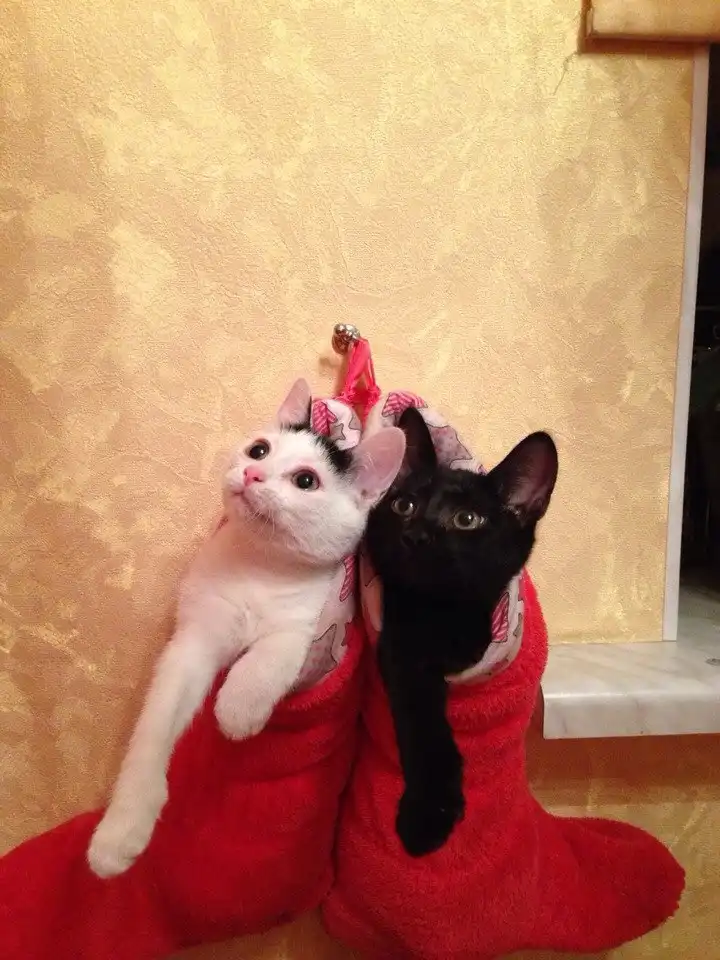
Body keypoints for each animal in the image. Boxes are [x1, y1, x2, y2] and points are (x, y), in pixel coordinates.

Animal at [87, 379, 405, 879]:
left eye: (306, 481)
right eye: (259, 449)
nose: (253, 474)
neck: (260, 566)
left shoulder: (308, 627)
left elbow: (268, 659)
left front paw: (237, 708)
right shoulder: (193, 638)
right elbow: (155, 726)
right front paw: (120, 830)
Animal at [365, 405, 557, 858]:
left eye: (467, 519)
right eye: (404, 504)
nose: (415, 535)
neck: (446, 612)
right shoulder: (401, 652)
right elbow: (425, 728)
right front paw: (428, 815)